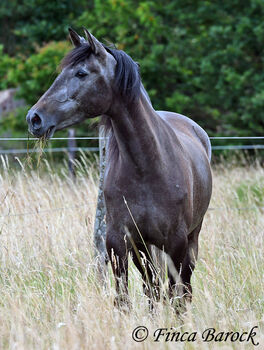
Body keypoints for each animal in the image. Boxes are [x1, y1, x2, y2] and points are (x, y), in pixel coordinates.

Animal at [26, 27, 212, 310]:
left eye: (81, 73)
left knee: (183, 289)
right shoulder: (120, 243)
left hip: (191, 238)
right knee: (152, 288)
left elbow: (176, 296)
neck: (147, 167)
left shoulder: (176, 243)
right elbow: (125, 298)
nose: (34, 118)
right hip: (145, 249)